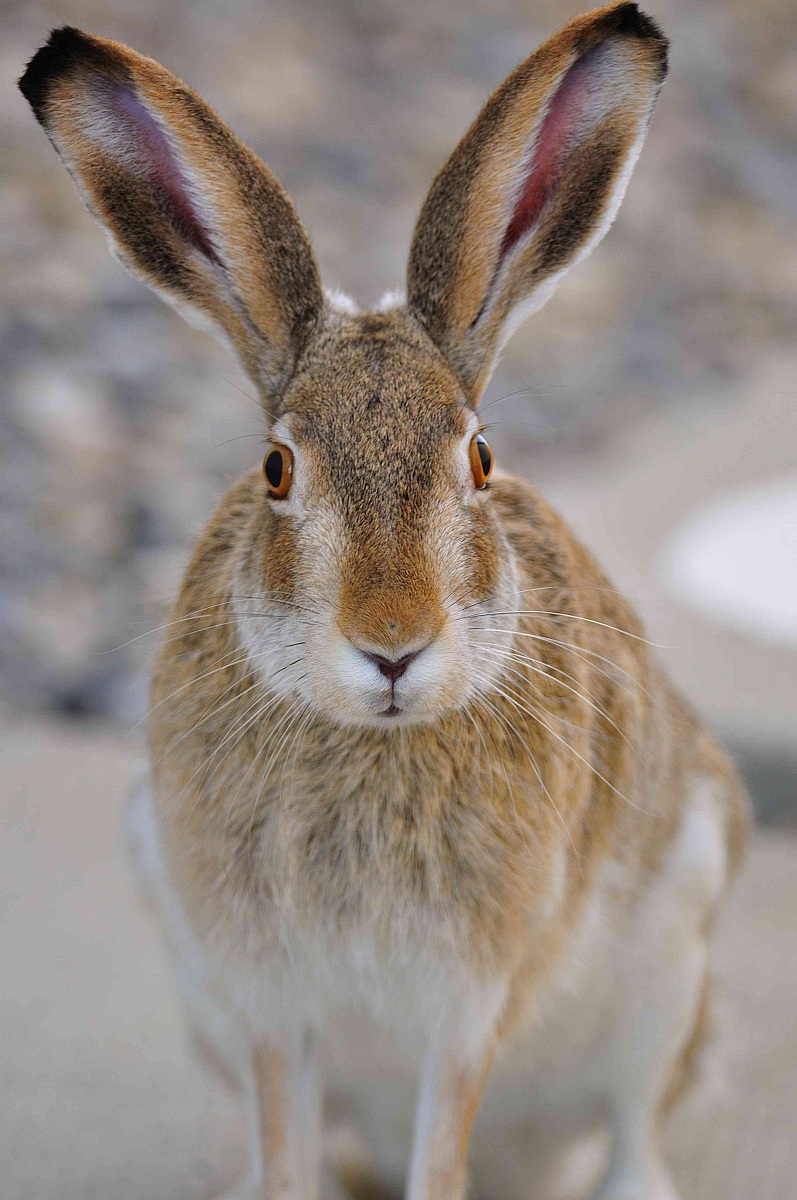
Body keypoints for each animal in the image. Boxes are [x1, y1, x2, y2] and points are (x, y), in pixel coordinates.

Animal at [20, 5, 751, 1199]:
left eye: (481, 459)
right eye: (275, 470)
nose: (393, 647)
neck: (370, 738)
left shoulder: (464, 1008)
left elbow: (438, 1149)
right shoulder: (266, 1008)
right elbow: (282, 1143)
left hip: (675, 945)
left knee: (635, 1128)